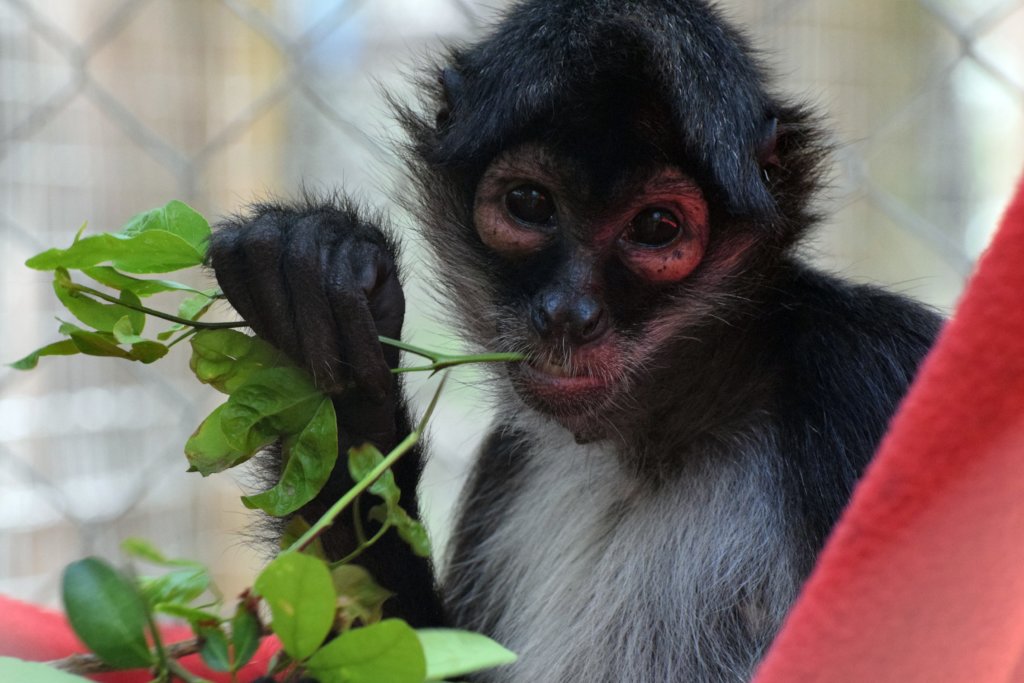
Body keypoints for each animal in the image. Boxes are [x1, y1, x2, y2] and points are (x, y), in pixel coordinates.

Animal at [208, 0, 943, 681]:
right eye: (530, 204)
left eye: (656, 226)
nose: (567, 313)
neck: (655, 446)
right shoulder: (512, 454)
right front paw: (332, 363)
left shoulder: (866, 368)